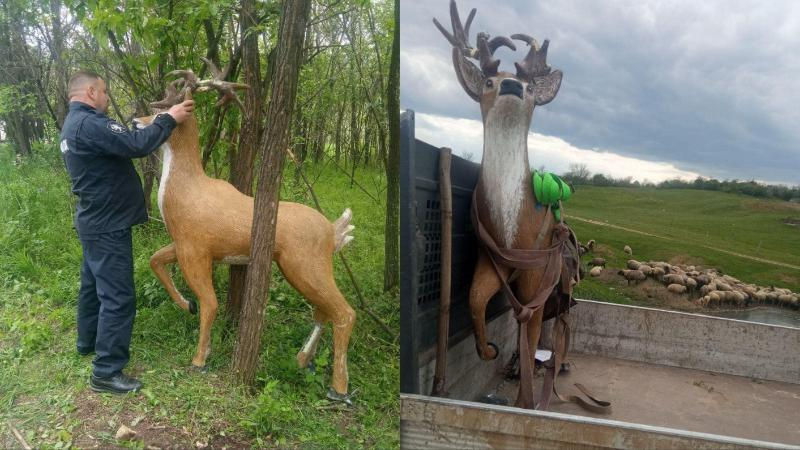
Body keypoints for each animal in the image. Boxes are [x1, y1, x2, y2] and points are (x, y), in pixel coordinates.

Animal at [133, 63, 356, 404]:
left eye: (163, 114)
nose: (135, 121)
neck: (186, 190)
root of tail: (333, 232)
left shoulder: (195, 248)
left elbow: (211, 302)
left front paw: (200, 358)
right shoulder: (184, 244)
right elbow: (155, 261)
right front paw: (186, 305)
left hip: (305, 263)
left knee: (344, 312)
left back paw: (339, 389)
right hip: (303, 267)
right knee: (324, 311)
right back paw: (302, 360)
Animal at [434, 1, 608, 412]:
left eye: (529, 86)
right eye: (488, 81)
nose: (512, 85)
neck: (512, 230)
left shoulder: (538, 272)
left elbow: (531, 324)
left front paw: (526, 401)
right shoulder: (489, 262)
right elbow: (476, 300)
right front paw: (490, 352)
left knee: (556, 321)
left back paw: (557, 365)